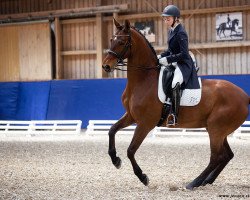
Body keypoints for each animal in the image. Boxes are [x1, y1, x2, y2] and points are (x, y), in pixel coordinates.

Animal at [101, 19, 250, 190]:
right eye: (111, 40)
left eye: (122, 42)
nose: (106, 66)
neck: (144, 80)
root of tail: (245, 96)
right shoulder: (131, 116)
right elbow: (112, 130)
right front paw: (115, 159)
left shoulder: (145, 123)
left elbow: (131, 150)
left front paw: (143, 177)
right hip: (218, 130)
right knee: (227, 155)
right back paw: (207, 181)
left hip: (216, 129)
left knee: (216, 156)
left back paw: (194, 182)